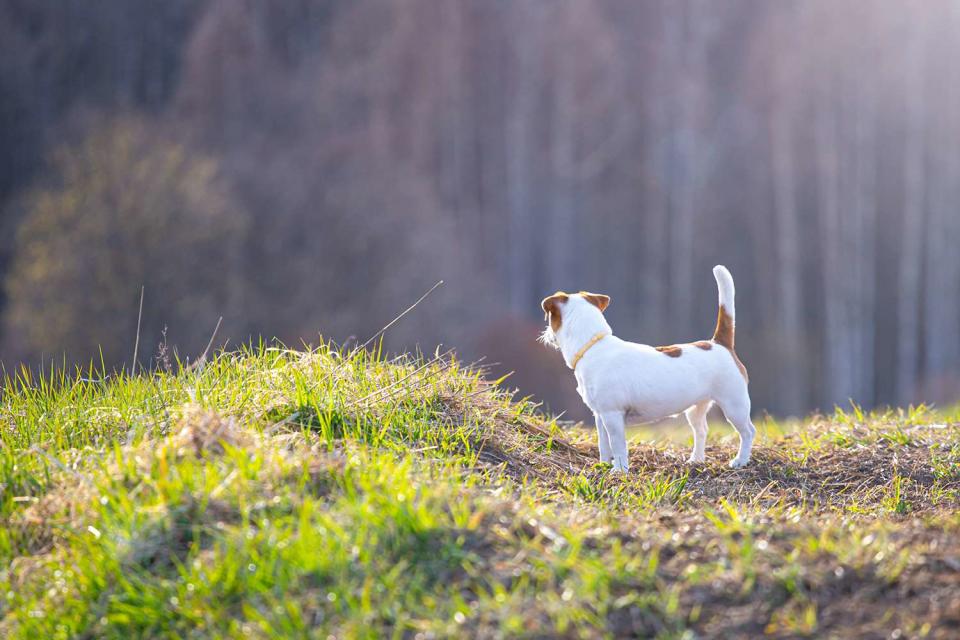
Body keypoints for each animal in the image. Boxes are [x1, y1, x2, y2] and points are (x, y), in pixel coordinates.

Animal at [540, 264, 756, 470]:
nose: (546, 334)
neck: (593, 345)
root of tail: (719, 343)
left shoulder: (612, 415)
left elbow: (617, 445)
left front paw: (619, 470)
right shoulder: (600, 416)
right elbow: (603, 444)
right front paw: (603, 464)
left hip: (734, 404)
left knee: (748, 431)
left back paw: (741, 460)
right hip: (696, 408)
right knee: (701, 430)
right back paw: (696, 460)